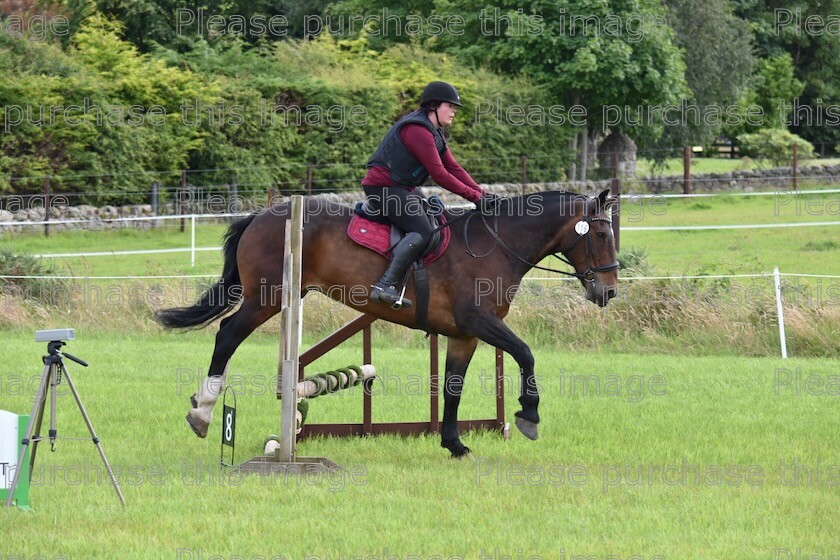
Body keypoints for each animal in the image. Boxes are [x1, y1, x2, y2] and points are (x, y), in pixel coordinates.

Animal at [156, 188, 616, 456]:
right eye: (600, 234)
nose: (608, 292)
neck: (495, 244)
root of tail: (262, 215)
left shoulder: (464, 335)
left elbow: (452, 389)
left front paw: (454, 444)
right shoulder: (480, 320)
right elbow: (526, 353)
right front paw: (529, 416)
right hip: (266, 298)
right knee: (227, 335)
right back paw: (203, 413)